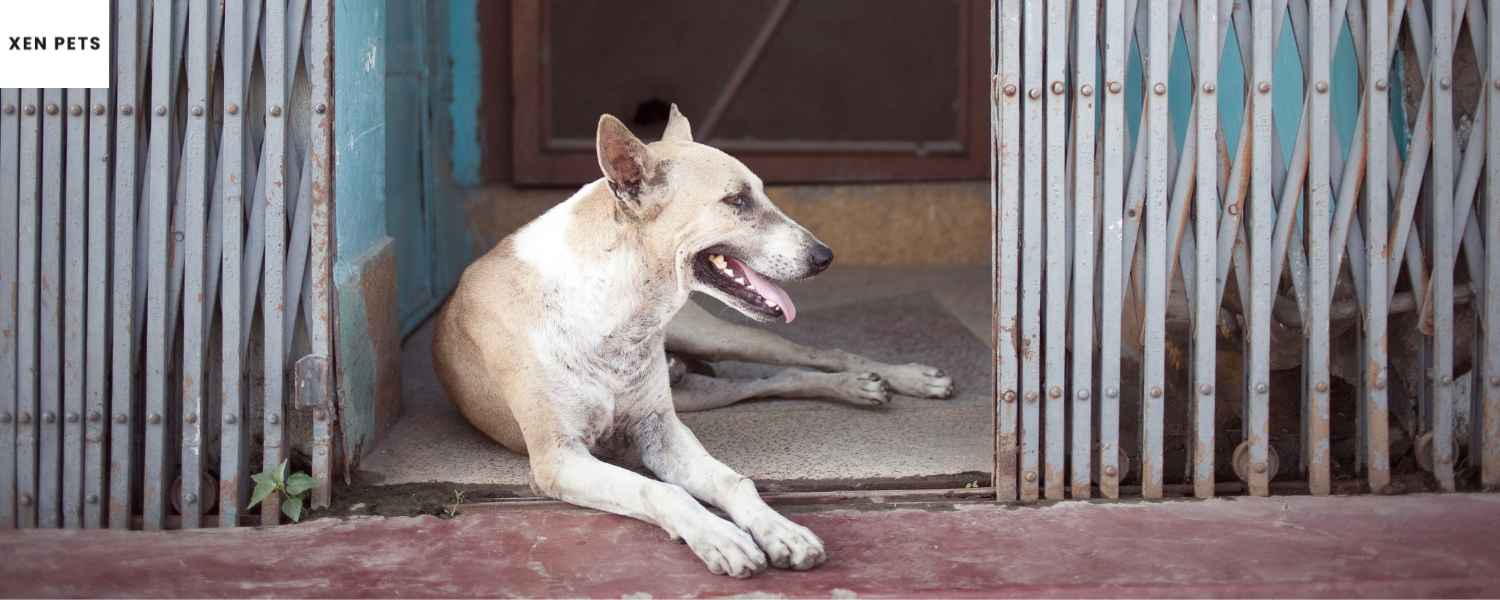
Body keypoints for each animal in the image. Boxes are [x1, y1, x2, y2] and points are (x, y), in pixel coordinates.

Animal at [435, 106, 846, 576]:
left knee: (809, 354)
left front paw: (782, 529)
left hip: (714, 338)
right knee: (768, 381)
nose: (825, 257)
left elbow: (732, 481)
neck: (614, 306)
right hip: (702, 393)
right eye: (736, 200)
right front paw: (720, 536)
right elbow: (661, 490)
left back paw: (880, 378)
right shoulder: (560, 458)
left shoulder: (662, 431)